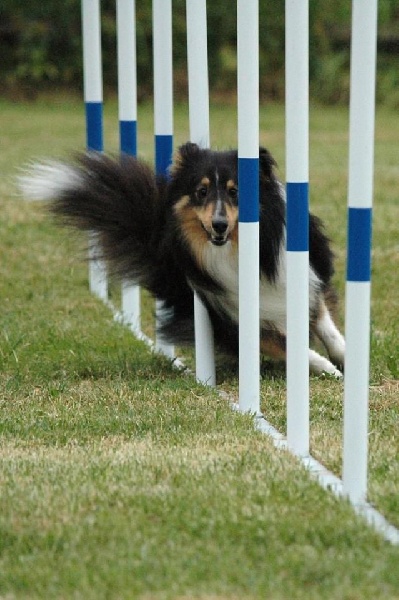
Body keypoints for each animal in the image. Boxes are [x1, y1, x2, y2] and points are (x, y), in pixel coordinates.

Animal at [21, 144, 346, 378]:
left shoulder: (301, 276)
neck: (235, 251)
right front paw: (324, 366)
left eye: (235, 192)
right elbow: (281, 342)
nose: (219, 225)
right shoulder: (228, 316)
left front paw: (341, 355)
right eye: (201, 192)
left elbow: (323, 320)